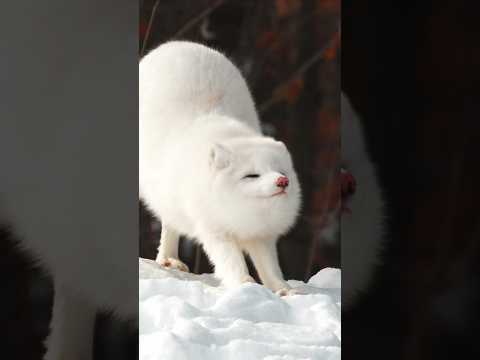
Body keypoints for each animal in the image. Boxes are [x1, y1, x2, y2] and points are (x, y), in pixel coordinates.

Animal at [139, 42, 302, 296]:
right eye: (251, 175)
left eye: (281, 172)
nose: (282, 182)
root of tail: (177, 44)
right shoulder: (214, 230)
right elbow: (231, 262)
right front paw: (244, 286)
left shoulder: (262, 236)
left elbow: (270, 267)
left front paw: (283, 290)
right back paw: (167, 258)